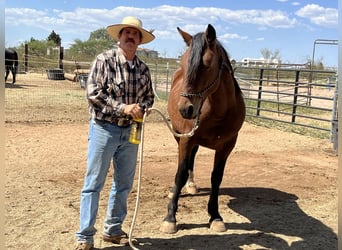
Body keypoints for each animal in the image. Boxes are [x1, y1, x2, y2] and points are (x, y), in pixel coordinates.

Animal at [160, 24, 246, 233]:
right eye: (183, 63)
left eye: (206, 65)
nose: (185, 109)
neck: (219, 112)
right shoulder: (186, 139)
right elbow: (180, 173)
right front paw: (170, 218)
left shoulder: (226, 146)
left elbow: (216, 178)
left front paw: (215, 216)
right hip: (180, 136)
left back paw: (191, 185)